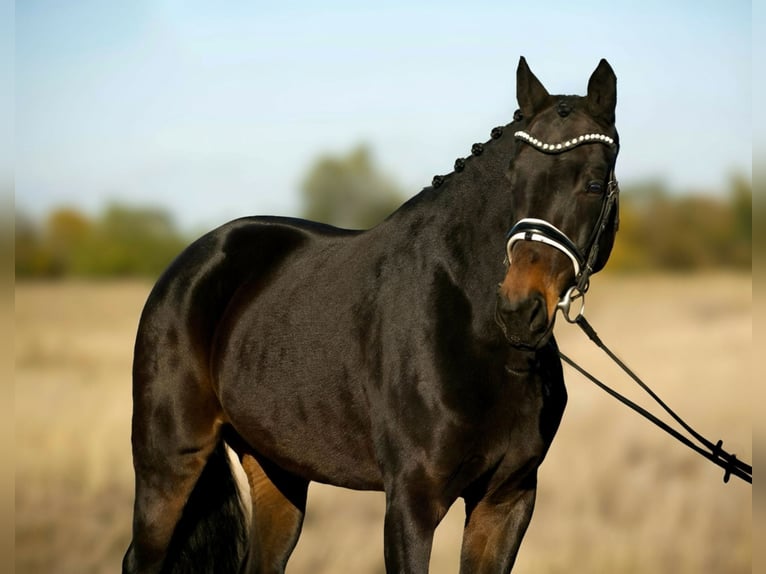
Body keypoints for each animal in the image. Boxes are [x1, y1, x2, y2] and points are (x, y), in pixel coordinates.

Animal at [123, 56, 620, 574]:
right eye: (513, 181)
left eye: (593, 183)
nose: (520, 309)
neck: (474, 331)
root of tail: (193, 260)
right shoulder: (411, 502)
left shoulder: (506, 500)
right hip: (168, 462)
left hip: (277, 470)